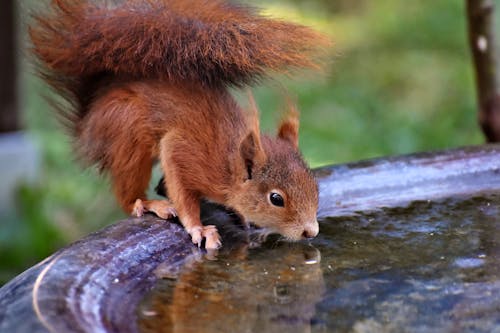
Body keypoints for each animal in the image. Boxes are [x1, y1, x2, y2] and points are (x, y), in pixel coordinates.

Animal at [29, 0, 330, 248]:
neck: (227, 161)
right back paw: (149, 203)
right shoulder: (183, 151)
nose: (310, 232)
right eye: (276, 199)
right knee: (128, 193)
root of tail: (89, 118)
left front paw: (239, 215)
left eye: (315, 186)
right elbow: (182, 190)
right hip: (128, 135)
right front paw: (199, 228)